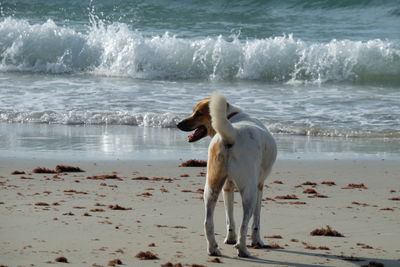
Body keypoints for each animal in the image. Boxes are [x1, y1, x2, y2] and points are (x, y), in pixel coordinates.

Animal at [177, 91, 276, 258]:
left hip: (211, 187)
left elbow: (230, 217)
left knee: (208, 222)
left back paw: (213, 249)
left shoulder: (227, 187)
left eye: (198, 113)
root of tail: (233, 134)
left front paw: (230, 238)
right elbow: (256, 221)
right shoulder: (259, 186)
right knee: (244, 224)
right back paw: (243, 250)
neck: (232, 117)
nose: (177, 124)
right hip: (249, 192)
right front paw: (257, 241)